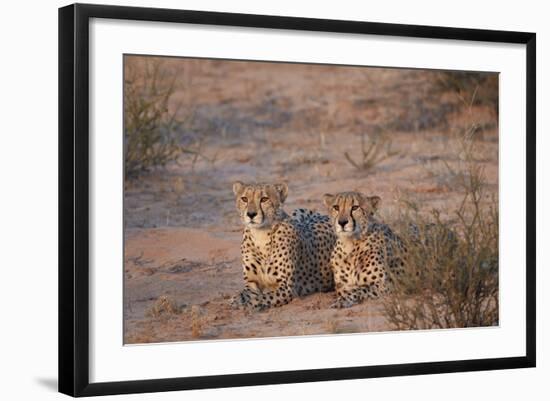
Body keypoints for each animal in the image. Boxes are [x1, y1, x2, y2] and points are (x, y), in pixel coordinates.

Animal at [230, 181, 334, 310]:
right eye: (244, 199)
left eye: (264, 199)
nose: (251, 214)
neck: (261, 234)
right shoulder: (252, 282)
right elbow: (245, 293)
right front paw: (238, 299)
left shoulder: (286, 288)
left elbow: (263, 297)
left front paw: (249, 304)